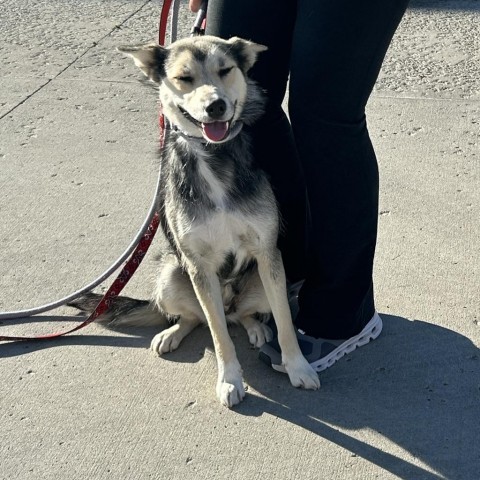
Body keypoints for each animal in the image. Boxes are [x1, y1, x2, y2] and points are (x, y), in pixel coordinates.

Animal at [69, 35, 318, 406]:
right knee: (200, 318)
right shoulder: (199, 266)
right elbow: (218, 334)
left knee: (241, 315)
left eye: (225, 70)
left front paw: (297, 367)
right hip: (172, 273)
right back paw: (172, 333)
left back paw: (256, 327)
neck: (214, 158)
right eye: (184, 78)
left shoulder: (268, 253)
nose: (215, 106)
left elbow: (286, 323)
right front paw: (229, 379)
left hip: (266, 279)